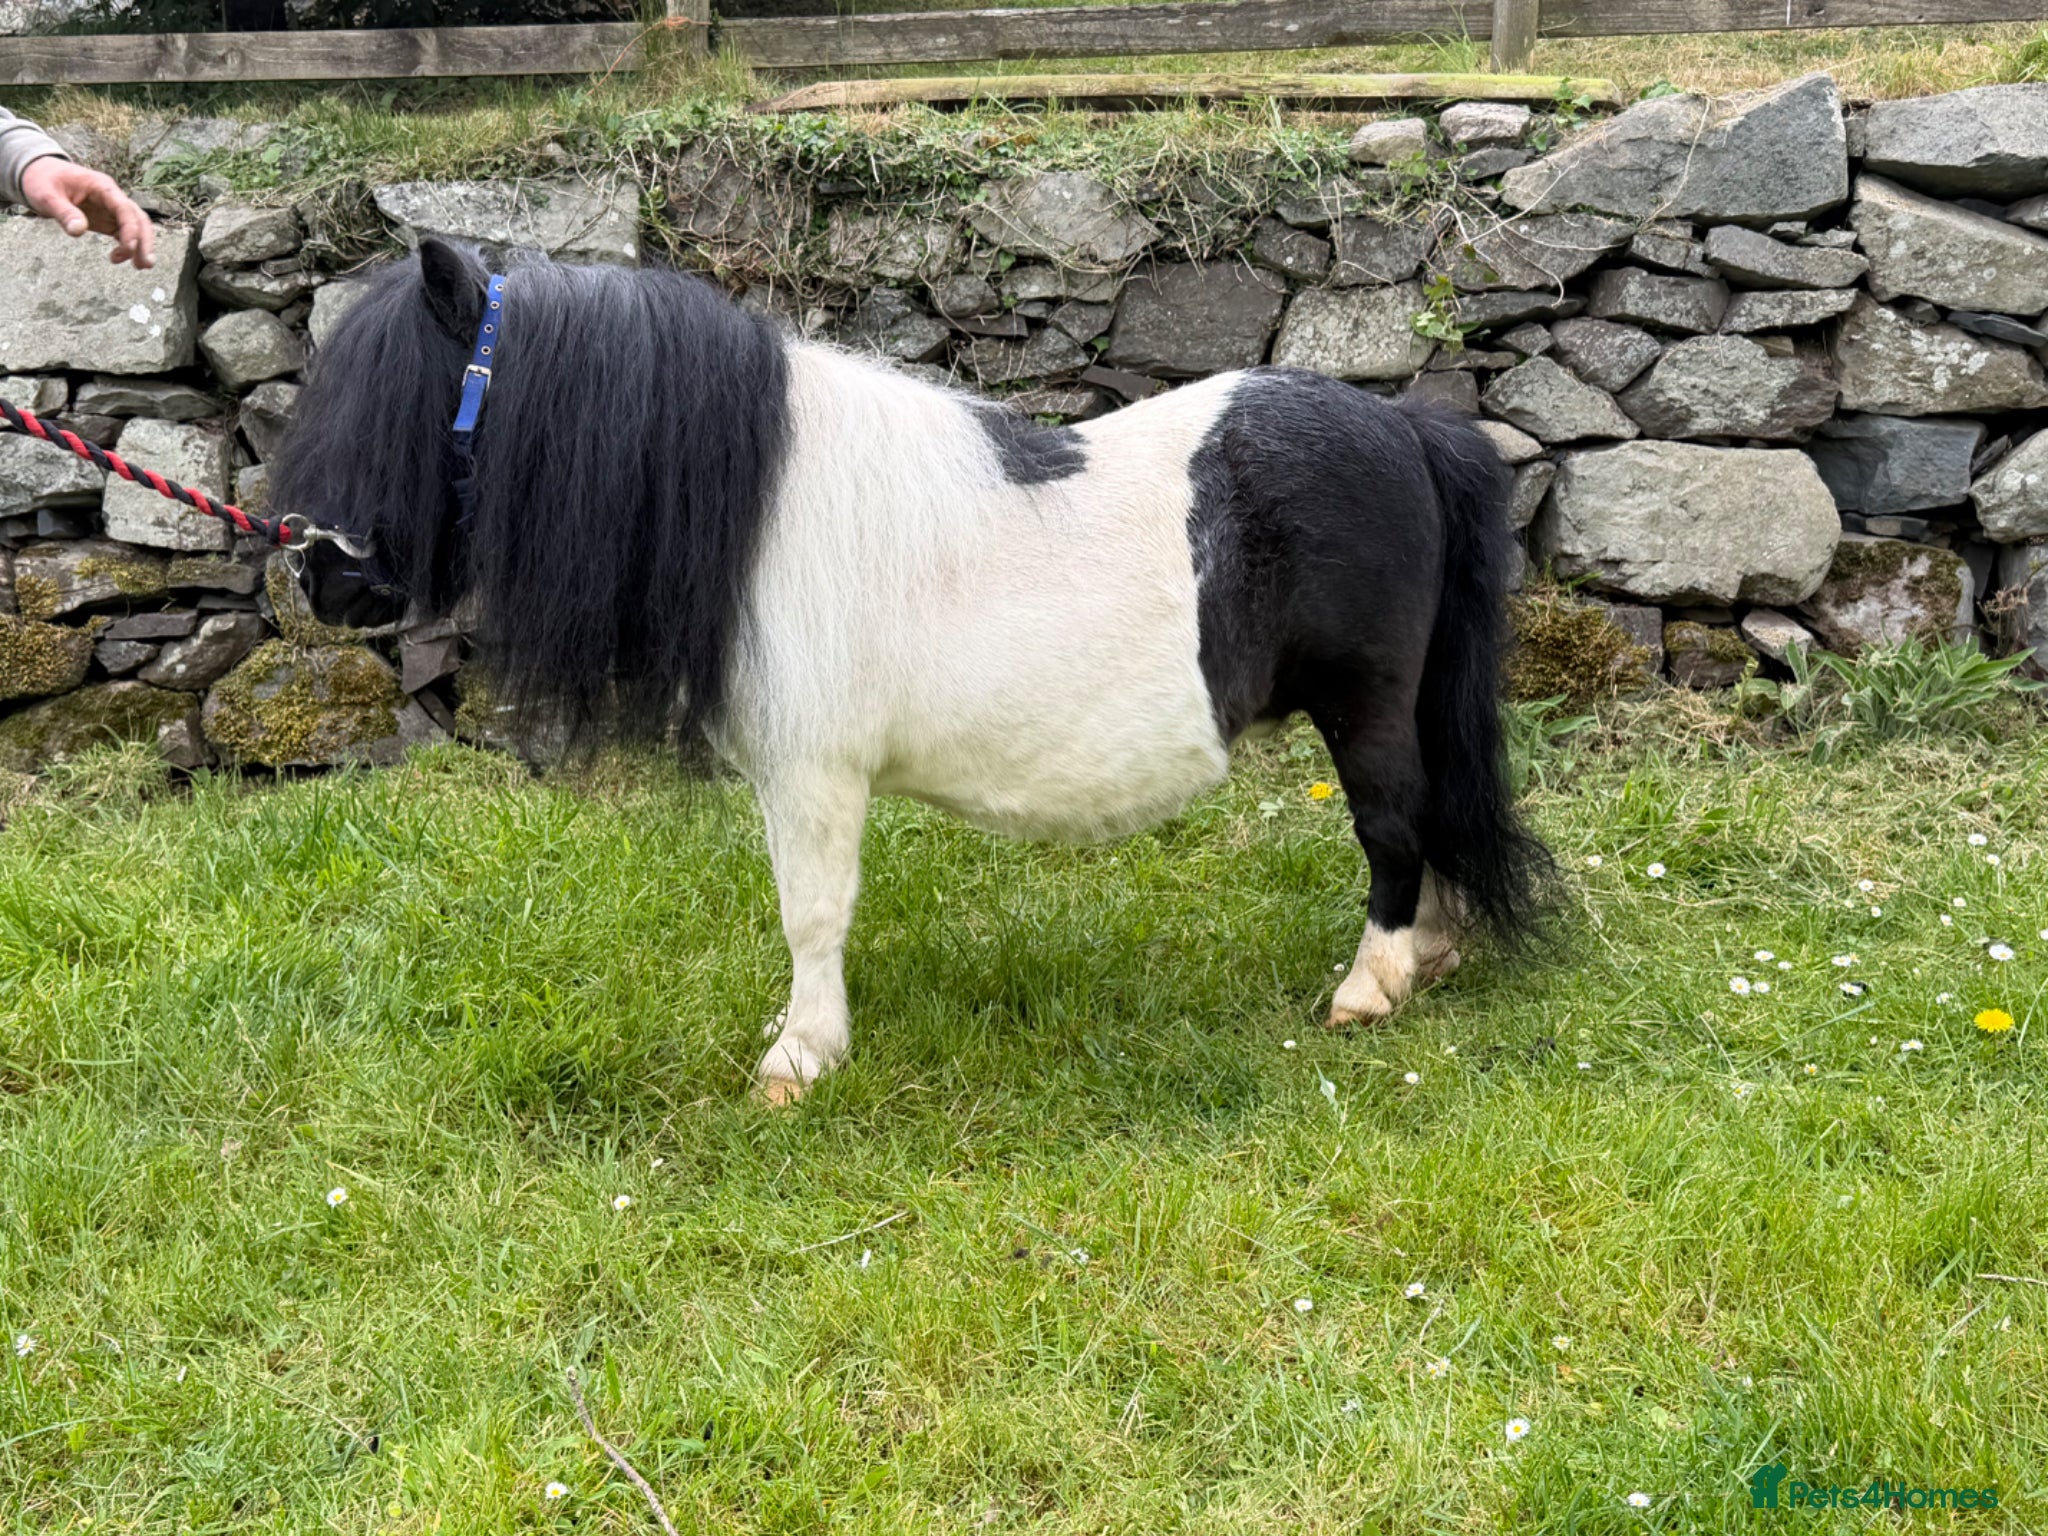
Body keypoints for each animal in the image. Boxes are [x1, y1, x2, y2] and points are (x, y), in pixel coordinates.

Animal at [270, 237, 1550, 1103]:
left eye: (399, 405)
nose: (319, 579)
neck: (757, 505)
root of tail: (1407, 430)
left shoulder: (813, 775)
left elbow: (811, 911)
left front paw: (799, 1057)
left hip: (1364, 704)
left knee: (1393, 825)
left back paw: (1372, 982)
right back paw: (1429, 957)